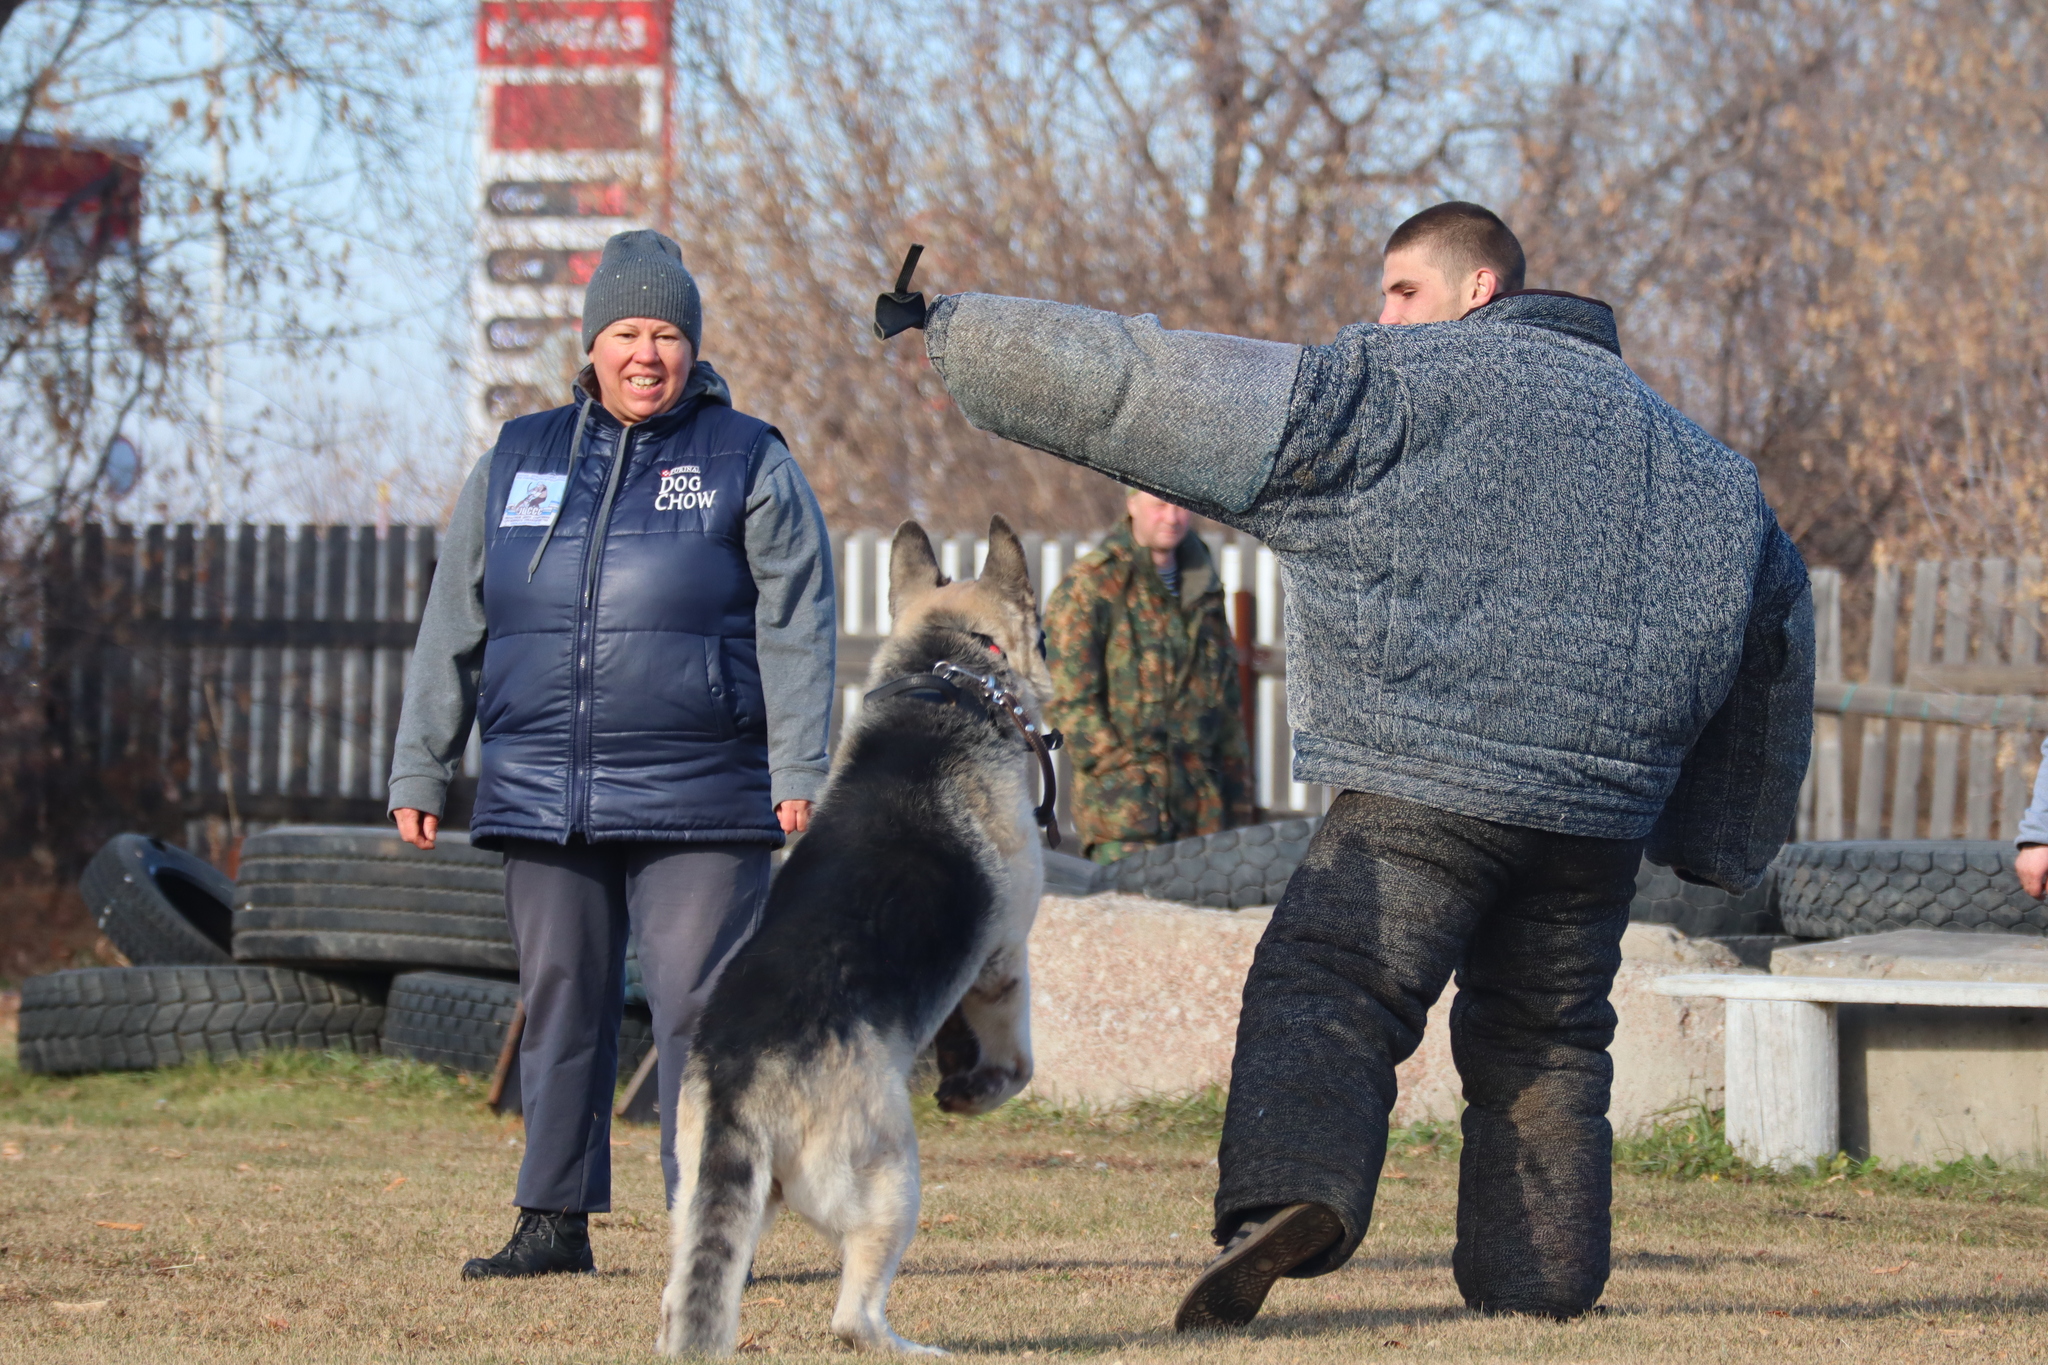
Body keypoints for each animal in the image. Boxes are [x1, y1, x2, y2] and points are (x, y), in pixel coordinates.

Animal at [663, 515, 1056, 1358]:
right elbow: (1017, 1061)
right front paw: (976, 1089)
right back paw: (910, 1345)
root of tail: (739, 1075)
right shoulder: (1004, 960)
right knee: (853, 1316)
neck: (947, 672)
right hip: (891, 1179)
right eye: (1039, 629)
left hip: (713, 1203)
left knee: (687, 1296)